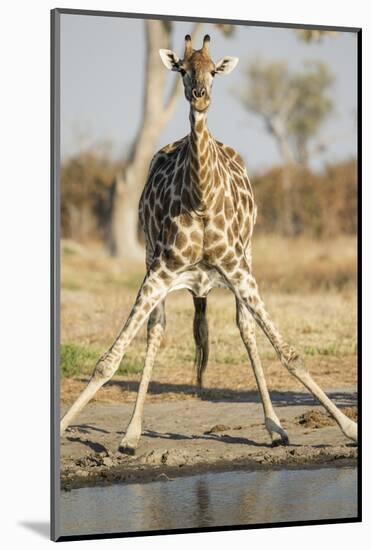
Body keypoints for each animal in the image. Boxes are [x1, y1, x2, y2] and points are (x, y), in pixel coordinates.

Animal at [60, 35, 358, 458]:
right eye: (183, 70)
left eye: (214, 70)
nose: (200, 98)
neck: (200, 199)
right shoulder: (159, 272)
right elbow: (109, 359)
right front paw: (72, 426)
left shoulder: (238, 269)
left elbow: (290, 353)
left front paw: (349, 427)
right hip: (153, 261)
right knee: (156, 331)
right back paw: (132, 433)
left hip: (246, 260)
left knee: (246, 330)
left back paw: (275, 428)